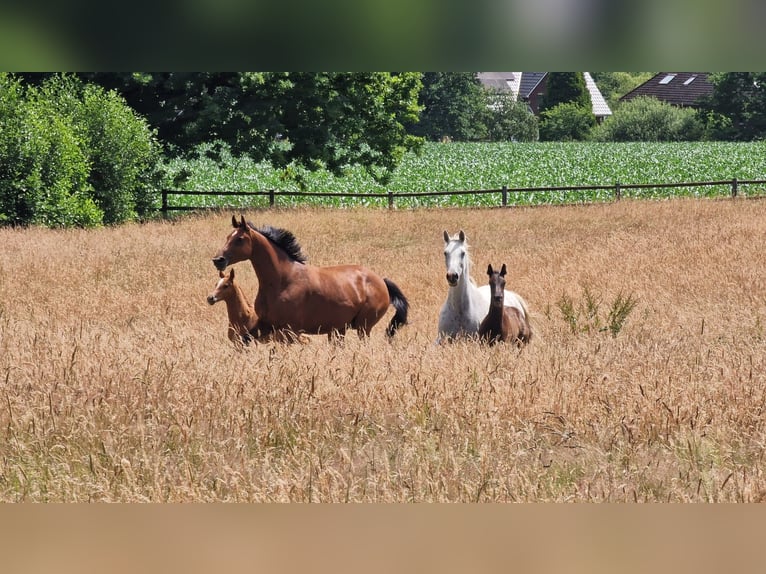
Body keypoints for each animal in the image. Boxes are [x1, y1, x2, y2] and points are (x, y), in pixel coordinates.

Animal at [212, 216, 408, 342]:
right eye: (228, 237)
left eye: (239, 239)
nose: (218, 260)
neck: (283, 280)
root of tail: (381, 281)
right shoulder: (266, 325)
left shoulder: (289, 331)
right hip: (339, 330)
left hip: (362, 327)